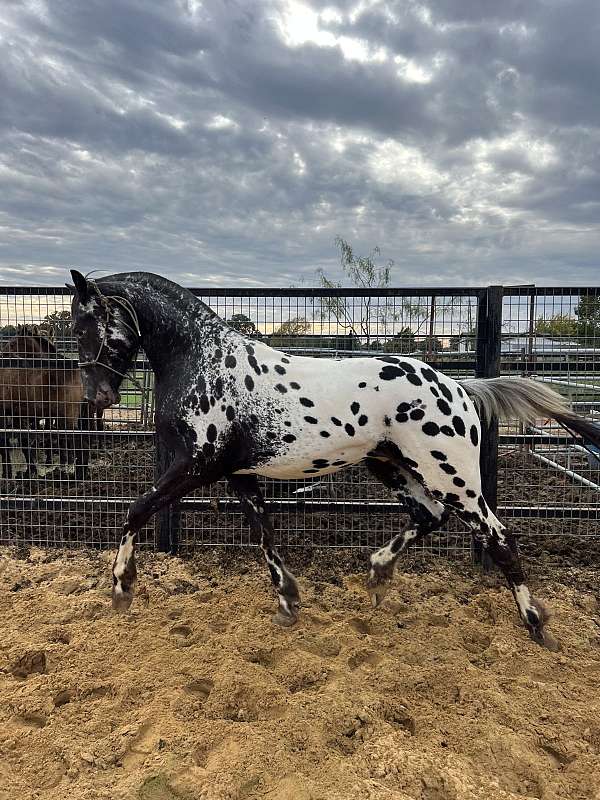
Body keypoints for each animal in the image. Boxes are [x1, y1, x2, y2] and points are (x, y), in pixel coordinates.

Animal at [67, 270, 600, 648]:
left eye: (87, 324)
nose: (97, 397)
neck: (207, 362)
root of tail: (458, 387)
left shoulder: (198, 466)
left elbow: (136, 510)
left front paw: (121, 588)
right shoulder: (238, 474)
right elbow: (264, 532)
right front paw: (288, 600)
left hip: (452, 476)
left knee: (498, 537)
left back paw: (536, 625)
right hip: (393, 467)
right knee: (429, 516)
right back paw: (378, 573)